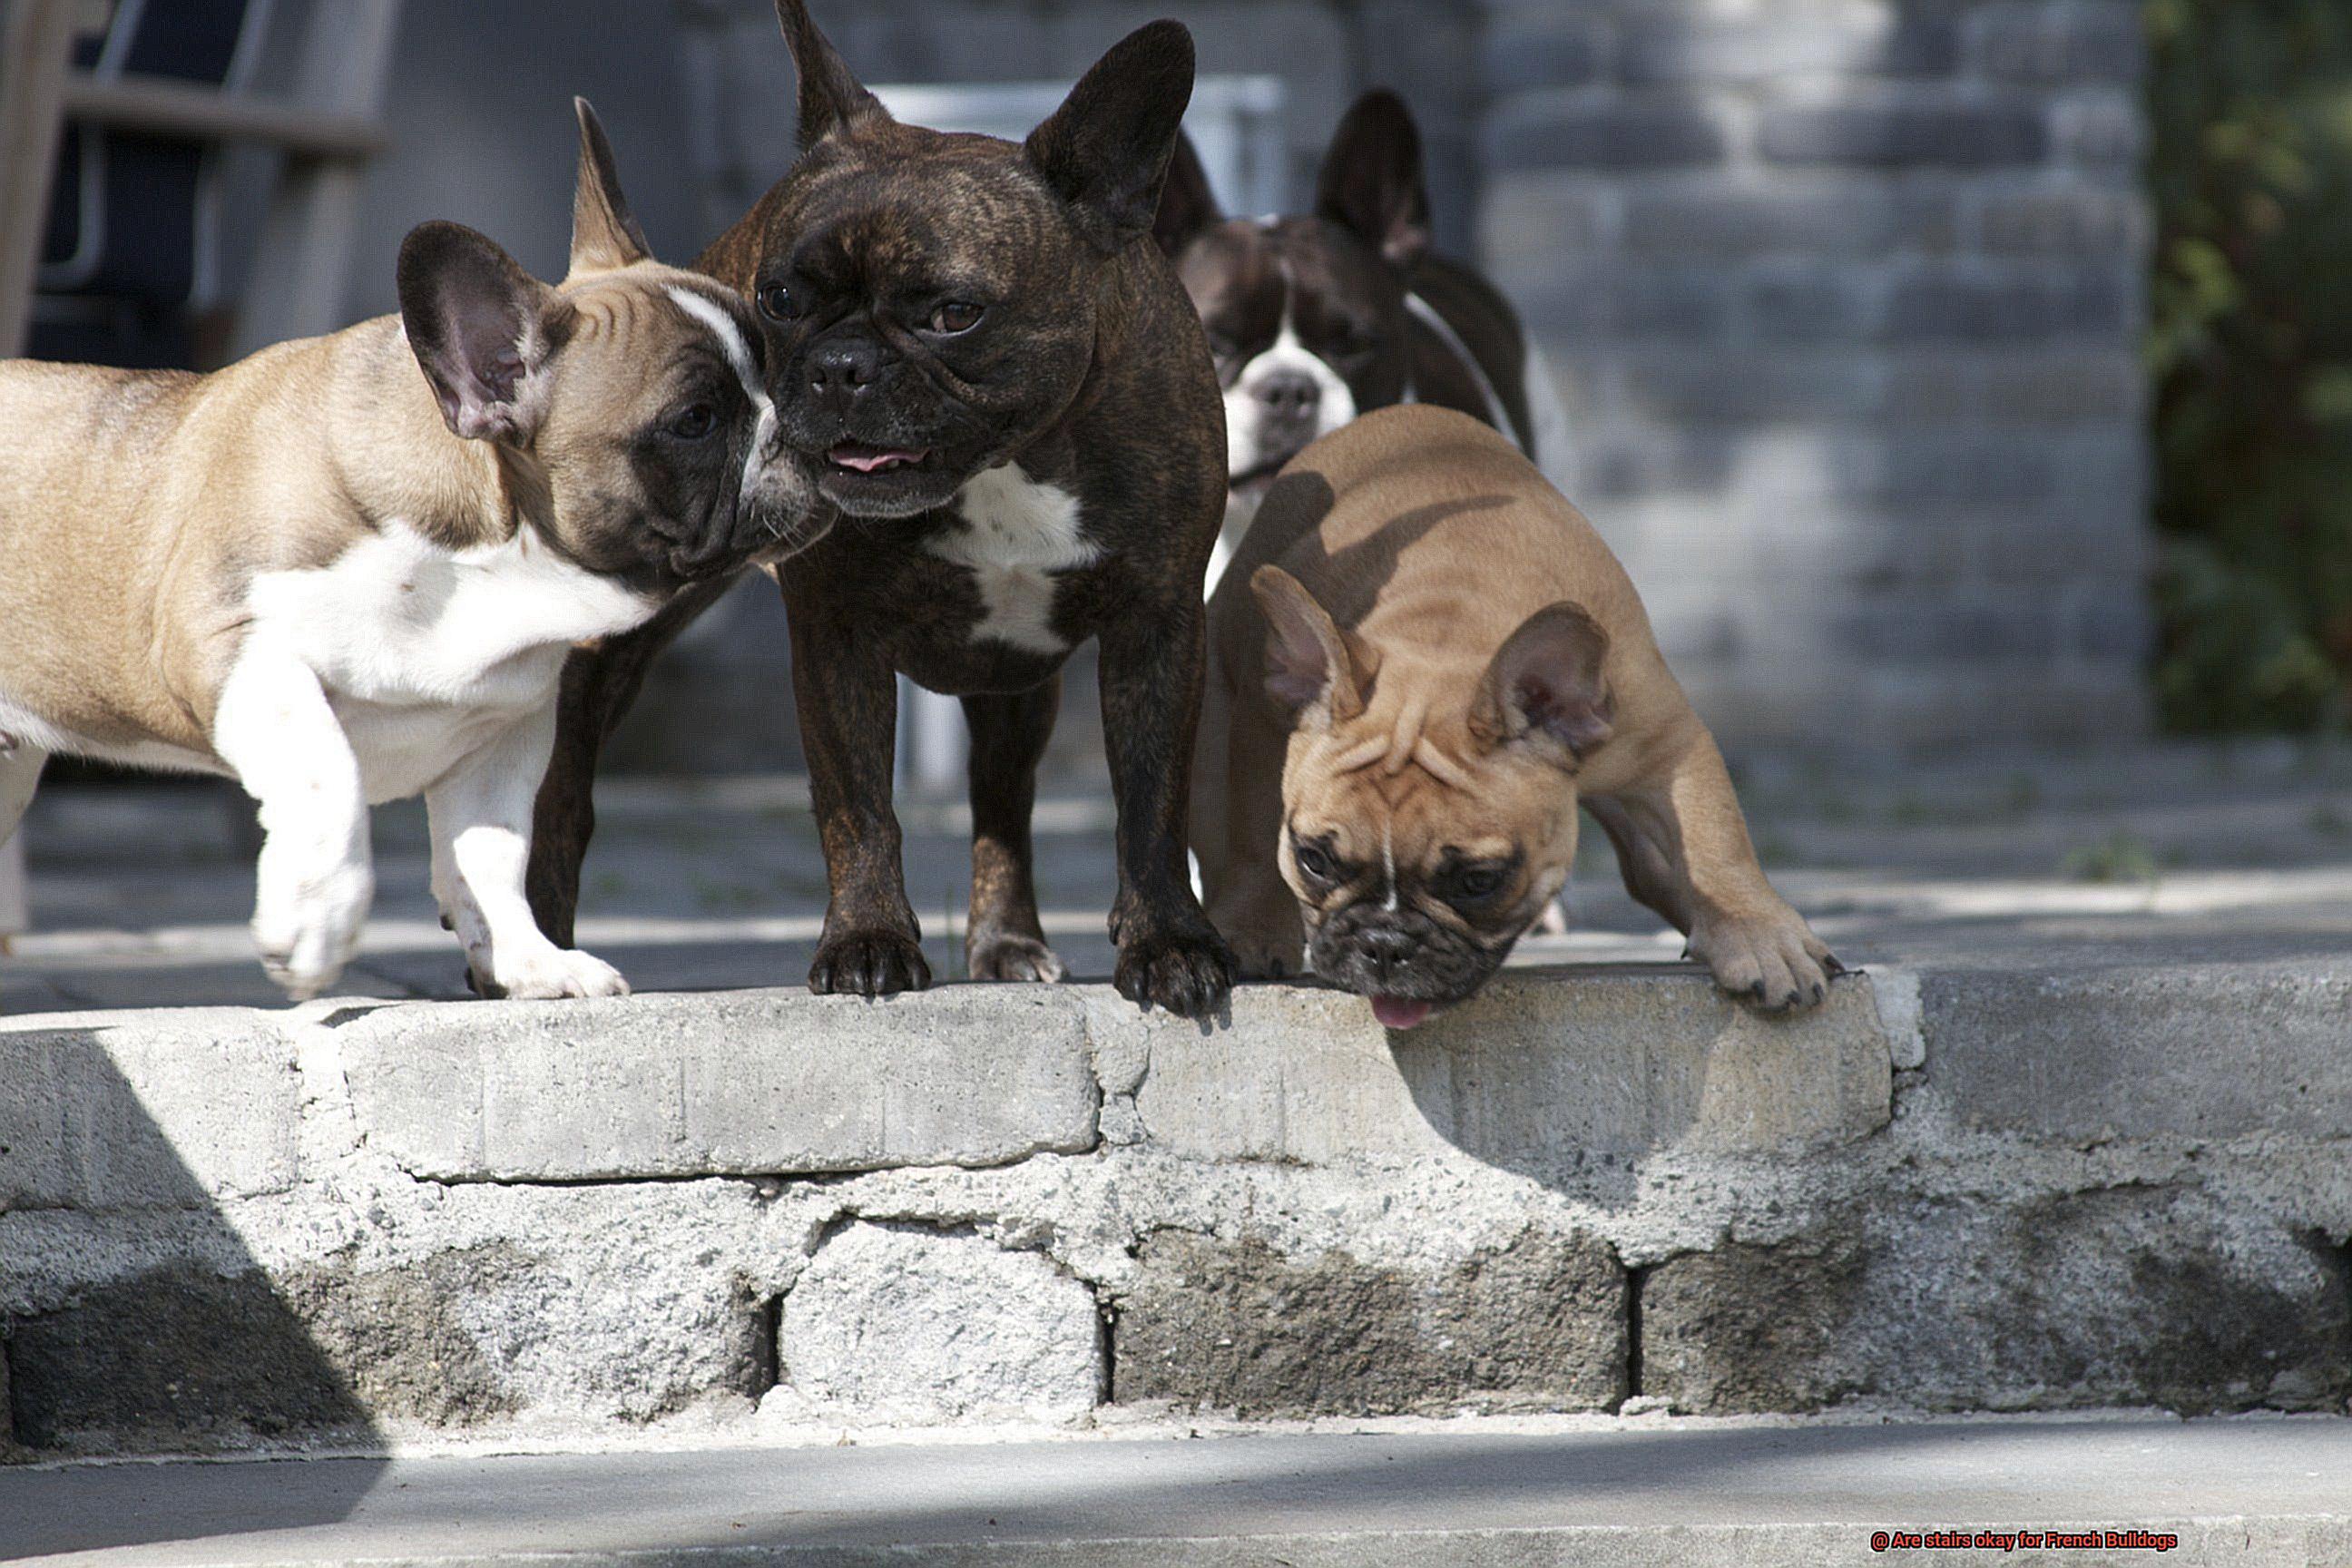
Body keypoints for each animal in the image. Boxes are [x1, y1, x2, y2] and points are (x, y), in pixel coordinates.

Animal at [0, 101, 818, 1005]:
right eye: (695, 421)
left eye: (775, 368)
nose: (800, 424)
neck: (481, 571)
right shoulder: (234, 646)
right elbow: (328, 773)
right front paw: (315, 920)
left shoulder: (504, 733)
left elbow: (492, 857)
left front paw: (530, 961)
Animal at [1194, 404, 1834, 1029]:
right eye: (1314, 860)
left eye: (1480, 881)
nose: (1385, 944)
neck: (1448, 628)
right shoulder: (1259, 726)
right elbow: (1252, 839)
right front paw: (1251, 926)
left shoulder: (1663, 743)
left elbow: (1713, 839)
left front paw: (1760, 937)